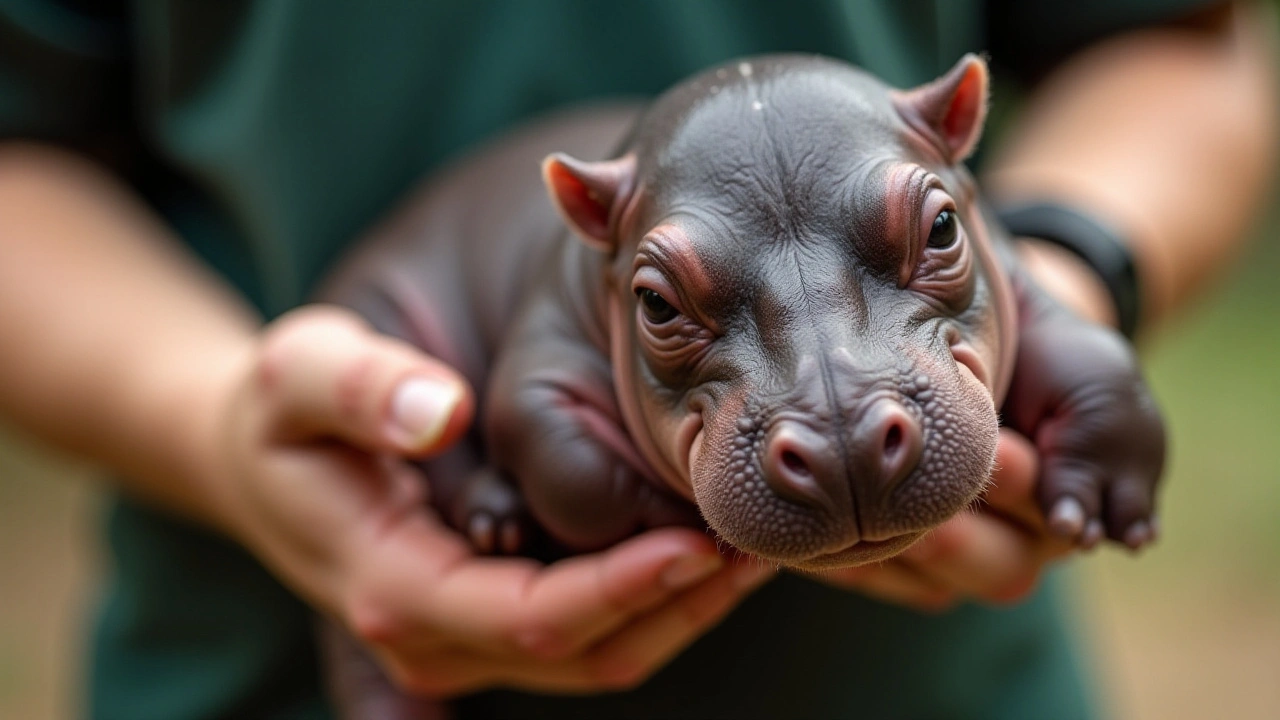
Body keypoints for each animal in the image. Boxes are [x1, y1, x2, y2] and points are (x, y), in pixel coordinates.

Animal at [317, 51, 1162, 712]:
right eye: (654, 302)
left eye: (945, 226)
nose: (846, 446)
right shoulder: (541, 350)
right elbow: (558, 453)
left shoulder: (1016, 279)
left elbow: (1094, 358)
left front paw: (1095, 506)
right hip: (380, 313)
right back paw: (494, 518)